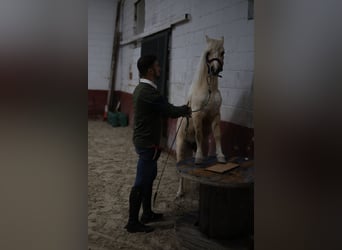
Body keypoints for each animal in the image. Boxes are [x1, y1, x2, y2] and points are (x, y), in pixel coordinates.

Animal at [175, 35, 226, 197]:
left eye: (222, 52)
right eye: (208, 53)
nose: (215, 69)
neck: (208, 90)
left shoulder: (216, 115)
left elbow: (217, 135)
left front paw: (221, 157)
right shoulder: (198, 116)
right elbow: (198, 133)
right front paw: (198, 159)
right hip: (181, 148)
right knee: (180, 171)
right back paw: (180, 192)